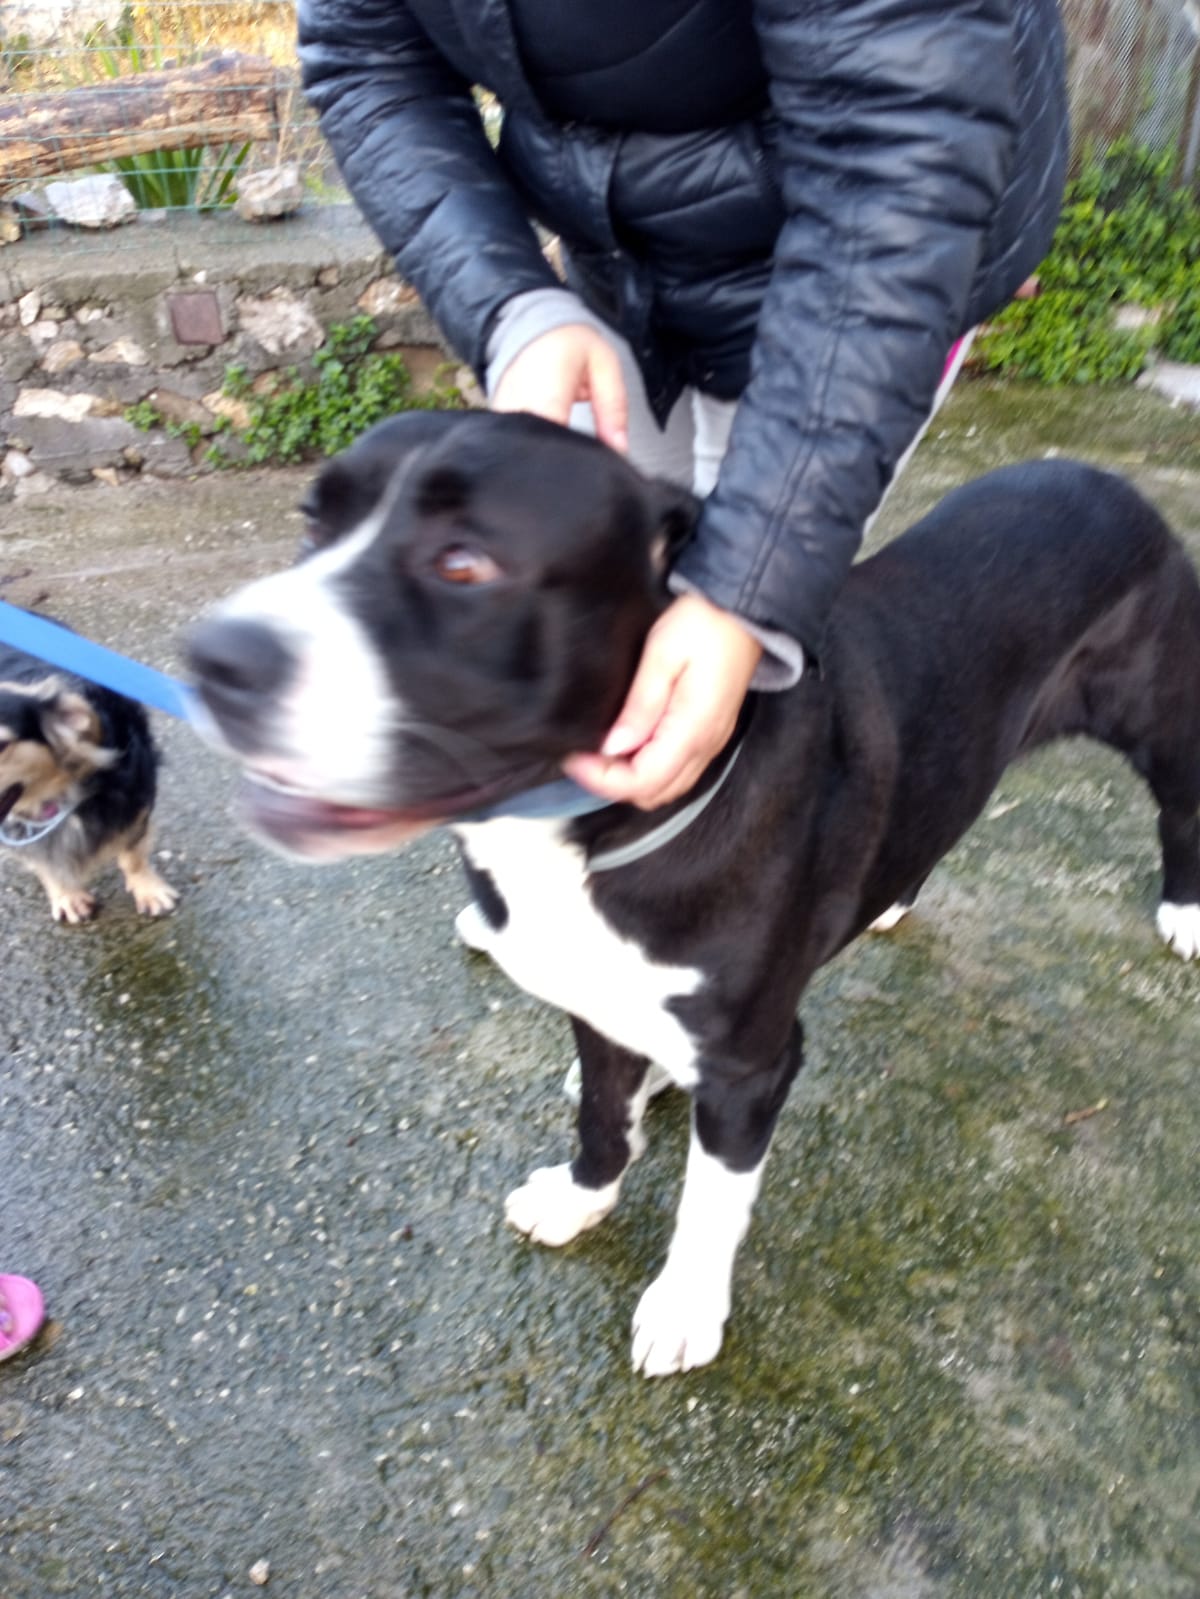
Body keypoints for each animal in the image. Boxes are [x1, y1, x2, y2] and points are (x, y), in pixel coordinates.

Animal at [0, 637, 178, 924]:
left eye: (2, 744)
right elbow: (45, 863)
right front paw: (67, 895)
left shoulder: (134, 803)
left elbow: (133, 854)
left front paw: (149, 890)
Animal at [187, 411, 1200, 1376]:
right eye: (314, 523)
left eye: (464, 563)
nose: (215, 656)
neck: (594, 841)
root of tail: (1100, 476)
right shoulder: (595, 1000)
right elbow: (601, 1114)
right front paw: (582, 1196)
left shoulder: (753, 1069)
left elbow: (710, 1203)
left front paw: (682, 1307)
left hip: (1159, 720)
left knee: (1181, 807)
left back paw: (1185, 913)